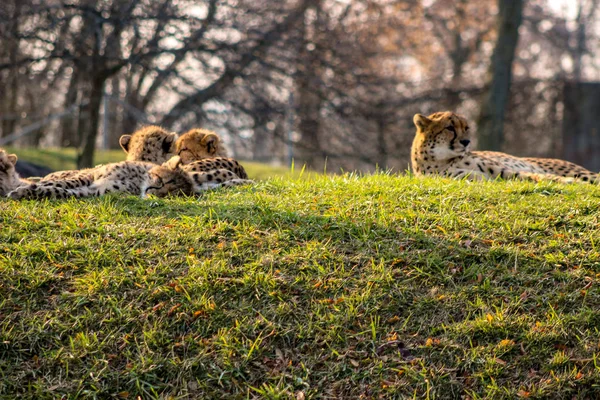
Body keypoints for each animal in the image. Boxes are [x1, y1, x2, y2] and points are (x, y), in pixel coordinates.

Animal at [410, 111, 596, 183]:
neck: (442, 159)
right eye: (450, 128)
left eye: (466, 128)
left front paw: (567, 182)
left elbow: (534, 176)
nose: (466, 142)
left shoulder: (501, 171)